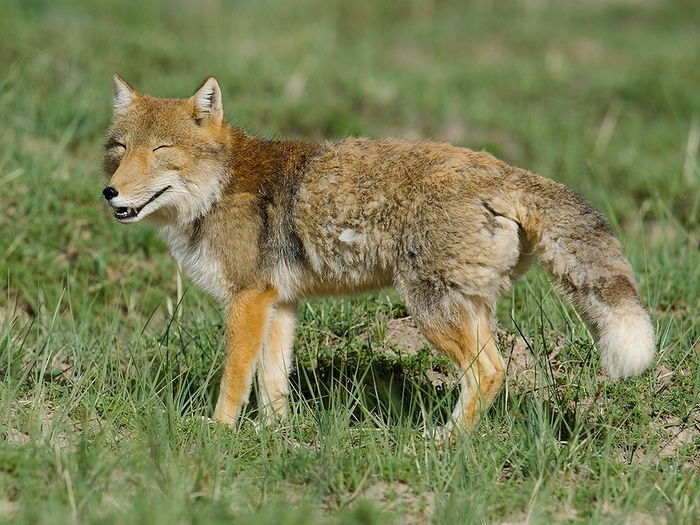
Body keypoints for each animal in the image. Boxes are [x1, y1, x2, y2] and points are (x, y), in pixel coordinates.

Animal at [101, 73, 652, 434]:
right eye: (120, 149)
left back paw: (441, 443)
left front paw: (218, 434)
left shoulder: (246, 301)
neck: (218, 188)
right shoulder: (278, 304)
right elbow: (273, 383)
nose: (110, 193)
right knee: (493, 371)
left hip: (430, 312)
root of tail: (503, 170)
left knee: (489, 372)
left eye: (161, 151)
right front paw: (277, 438)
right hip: (466, 309)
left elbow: (235, 379)